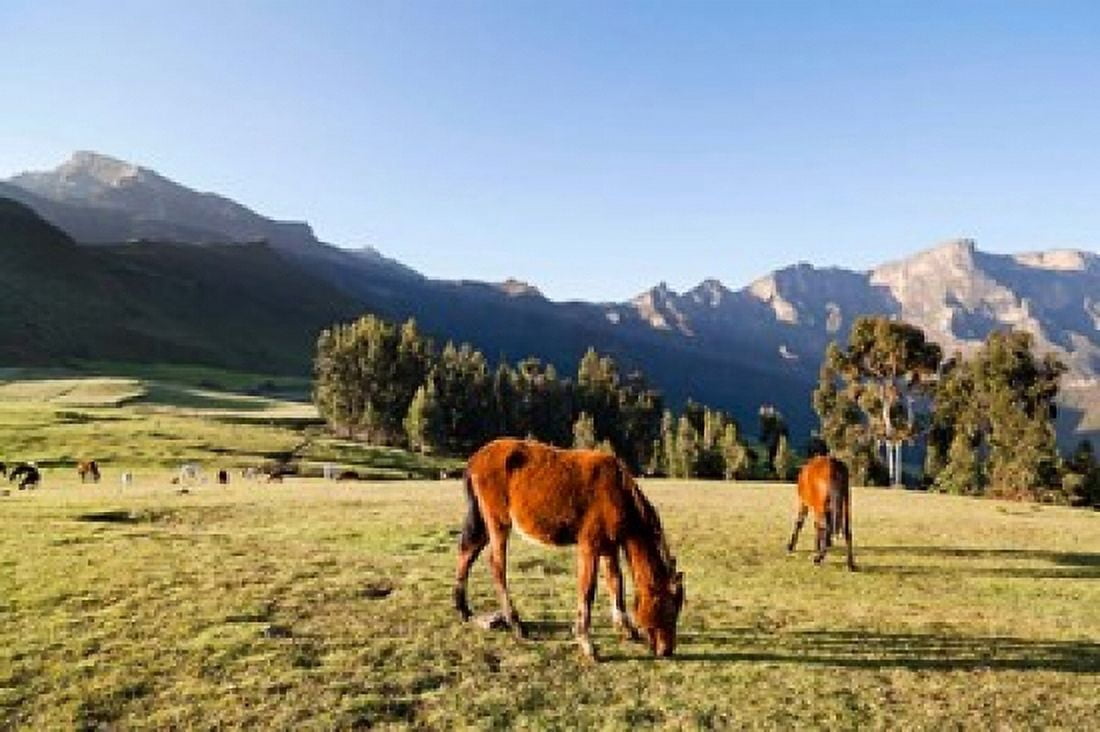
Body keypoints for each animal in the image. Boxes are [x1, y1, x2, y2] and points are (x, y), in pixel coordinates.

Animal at [454, 438, 685, 660]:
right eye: (669, 609)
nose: (667, 650)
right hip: (498, 522)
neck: (618, 491)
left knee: (467, 553)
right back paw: (516, 624)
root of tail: (475, 460)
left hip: (483, 522)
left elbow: (616, 583)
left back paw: (464, 610)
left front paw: (626, 629)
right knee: (496, 565)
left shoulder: (609, 547)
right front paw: (586, 642)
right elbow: (588, 589)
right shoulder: (589, 545)